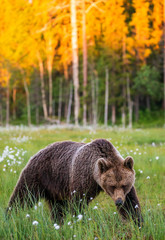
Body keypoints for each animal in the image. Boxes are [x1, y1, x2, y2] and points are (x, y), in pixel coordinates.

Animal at [7, 139, 142, 225]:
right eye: (112, 186)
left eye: (124, 185)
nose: (119, 202)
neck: (94, 175)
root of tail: (38, 152)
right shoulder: (82, 177)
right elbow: (78, 202)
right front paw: (78, 221)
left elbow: (131, 203)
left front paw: (137, 222)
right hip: (38, 175)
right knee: (22, 196)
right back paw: (9, 215)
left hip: (55, 187)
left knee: (57, 207)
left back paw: (57, 223)